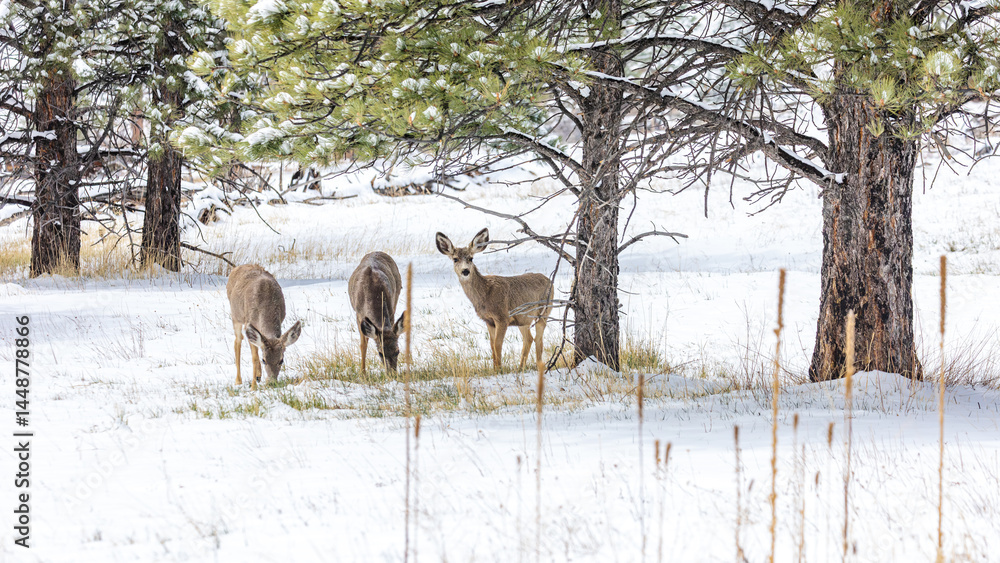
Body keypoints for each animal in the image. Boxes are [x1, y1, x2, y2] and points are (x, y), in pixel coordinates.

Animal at [435, 228, 553, 371]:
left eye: (471, 258)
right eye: (455, 259)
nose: (465, 271)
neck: (485, 294)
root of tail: (550, 280)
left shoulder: (502, 317)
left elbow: (498, 344)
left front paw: (500, 369)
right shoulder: (488, 320)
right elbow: (492, 345)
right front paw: (495, 368)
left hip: (544, 311)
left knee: (539, 340)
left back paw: (540, 366)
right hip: (523, 319)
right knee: (529, 339)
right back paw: (521, 368)